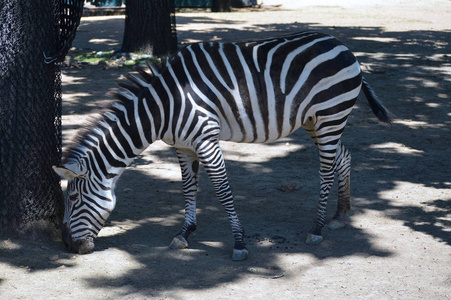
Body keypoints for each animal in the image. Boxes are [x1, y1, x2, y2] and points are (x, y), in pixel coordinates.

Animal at [53, 31, 392, 260]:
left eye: (73, 197)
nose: (68, 246)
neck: (163, 107)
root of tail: (342, 45)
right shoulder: (183, 146)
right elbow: (188, 188)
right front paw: (184, 233)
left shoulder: (206, 139)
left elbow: (222, 190)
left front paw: (239, 244)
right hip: (317, 121)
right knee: (342, 157)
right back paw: (339, 215)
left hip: (329, 116)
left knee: (325, 170)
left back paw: (318, 227)